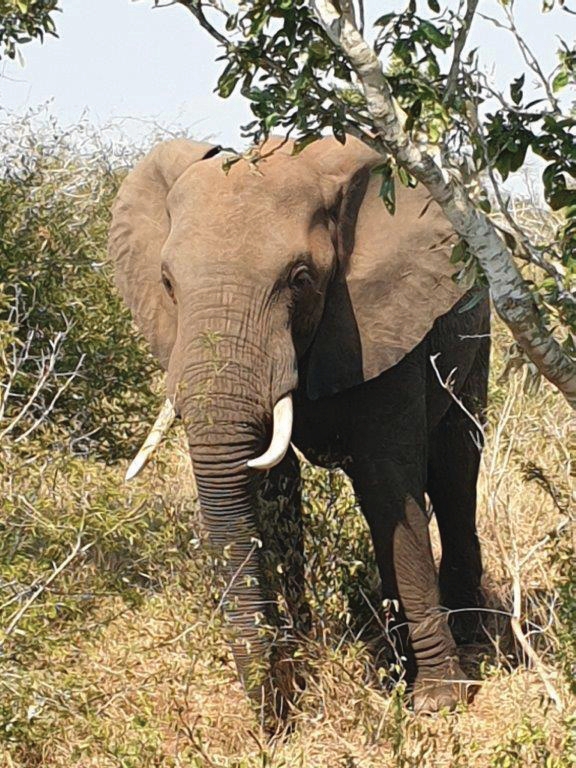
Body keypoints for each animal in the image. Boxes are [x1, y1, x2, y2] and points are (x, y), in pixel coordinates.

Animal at [109, 134, 489, 729]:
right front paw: (301, 661)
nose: (275, 723)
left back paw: (467, 635)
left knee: (454, 469)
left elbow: (387, 486)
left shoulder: (383, 318)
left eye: (301, 279)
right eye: (168, 283)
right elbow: (272, 493)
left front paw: (437, 701)